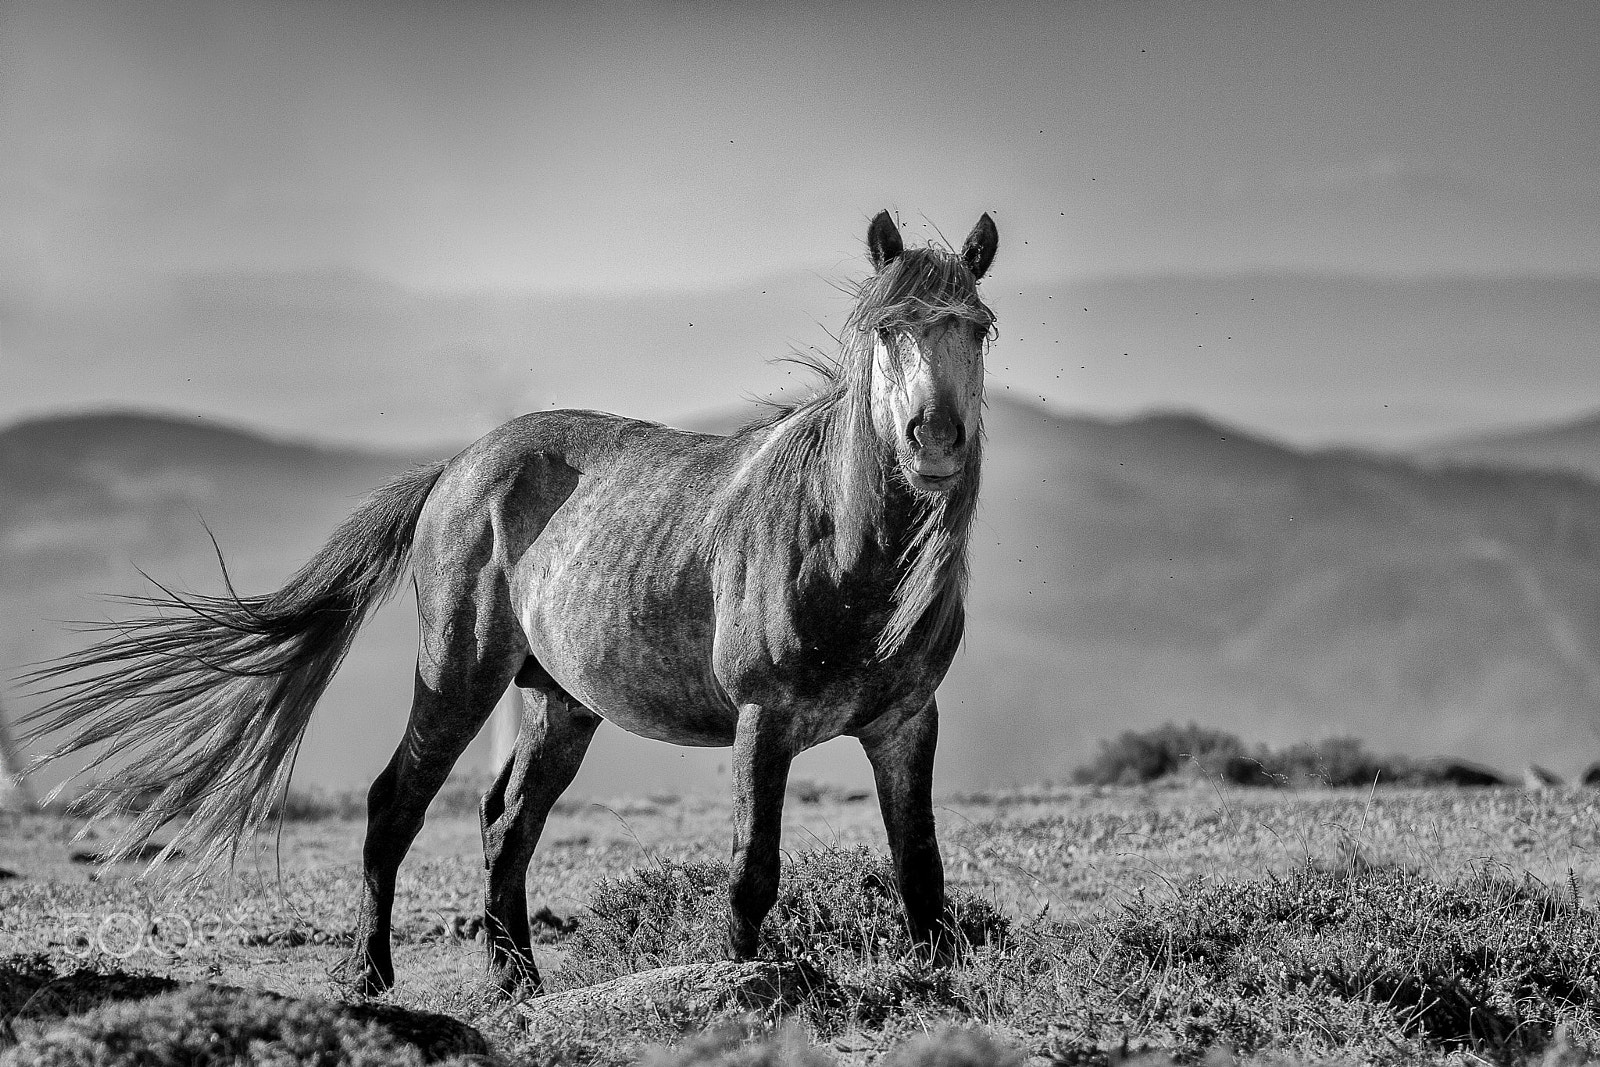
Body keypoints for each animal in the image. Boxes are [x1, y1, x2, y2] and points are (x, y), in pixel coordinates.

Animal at [25, 209, 999, 996]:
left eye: (979, 329)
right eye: (887, 330)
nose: (935, 439)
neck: (839, 546)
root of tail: (456, 468)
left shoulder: (906, 721)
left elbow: (921, 870)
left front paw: (940, 984)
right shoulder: (764, 719)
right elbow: (753, 868)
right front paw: (742, 979)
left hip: (558, 701)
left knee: (509, 821)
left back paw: (517, 979)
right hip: (460, 675)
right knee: (398, 804)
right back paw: (372, 974)